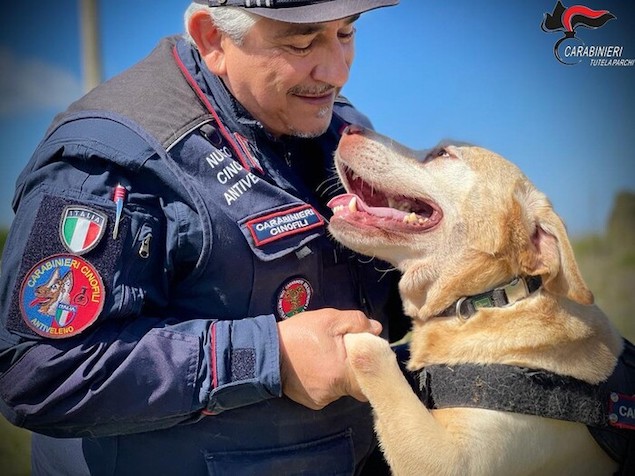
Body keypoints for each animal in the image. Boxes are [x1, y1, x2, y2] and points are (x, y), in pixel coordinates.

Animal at [328, 124, 632, 474]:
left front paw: (350, 334)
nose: (348, 128)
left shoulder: (453, 463)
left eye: (442, 153)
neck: (486, 299)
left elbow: (375, 360)